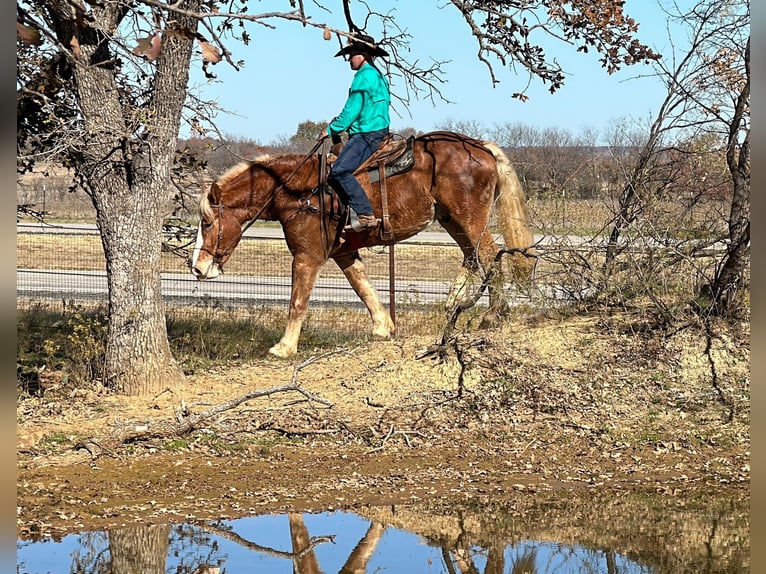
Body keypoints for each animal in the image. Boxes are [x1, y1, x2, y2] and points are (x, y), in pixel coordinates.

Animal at [191, 131, 536, 358]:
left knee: (491, 256)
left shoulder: (307, 256)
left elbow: (297, 301)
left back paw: (493, 314)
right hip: (451, 219)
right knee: (472, 256)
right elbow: (363, 286)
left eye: (207, 222)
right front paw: (383, 326)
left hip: (470, 219)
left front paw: (285, 346)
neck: (295, 189)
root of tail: (480, 146)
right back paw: (454, 300)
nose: (197, 268)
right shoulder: (344, 252)